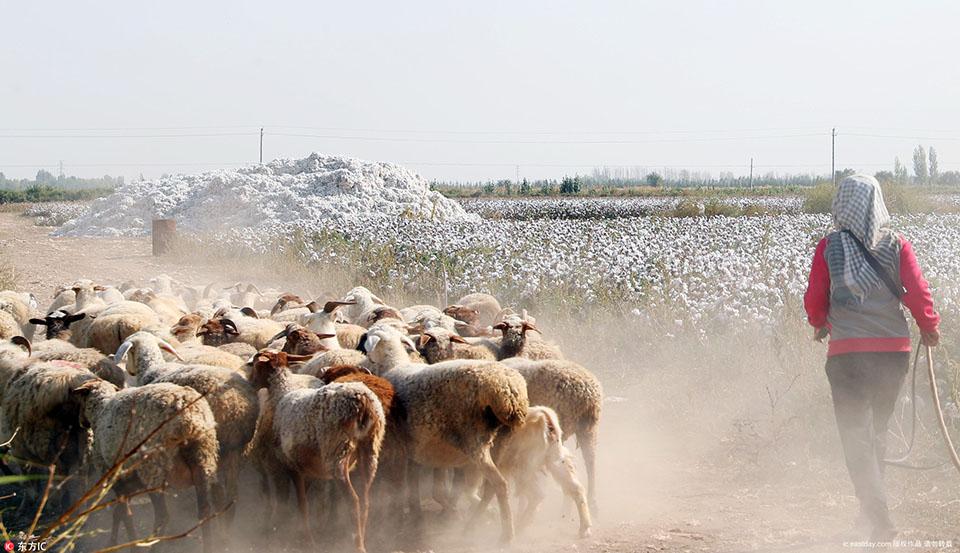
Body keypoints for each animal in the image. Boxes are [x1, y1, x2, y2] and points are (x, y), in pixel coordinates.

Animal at [72, 380, 220, 552]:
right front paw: (113, 542)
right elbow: (119, 513)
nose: (81, 422)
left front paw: (129, 545)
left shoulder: (114, 477)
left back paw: (154, 546)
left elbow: (125, 514)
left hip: (153, 470)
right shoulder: (128, 482)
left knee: (163, 516)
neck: (100, 410)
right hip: (203, 461)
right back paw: (209, 546)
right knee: (204, 510)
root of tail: (190, 419)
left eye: (81, 400)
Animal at [114, 332, 260, 520]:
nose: (129, 370)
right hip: (237, 450)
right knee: (231, 496)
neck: (151, 369)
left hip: (215, 448)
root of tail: (239, 406)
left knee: (217, 494)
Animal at [246, 352, 384, 548]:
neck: (283, 391)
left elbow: (302, 504)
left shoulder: (292, 464)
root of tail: (363, 401)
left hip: (336, 452)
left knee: (353, 500)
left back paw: (357, 545)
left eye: (257, 366)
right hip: (370, 450)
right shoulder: (309, 469)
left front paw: (306, 539)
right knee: (365, 500)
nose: (250, 383)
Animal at [360, 326, 528, 540]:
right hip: (501, 440)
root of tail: (508, 390)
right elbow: (424, 488)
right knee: (491, 487)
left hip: (474, 440)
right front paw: (422, 515)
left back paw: (505, 534)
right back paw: (473, 524)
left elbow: (406, 488)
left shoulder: (401, 451)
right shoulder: (423, 451)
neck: (394, 366)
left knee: (499, 483)